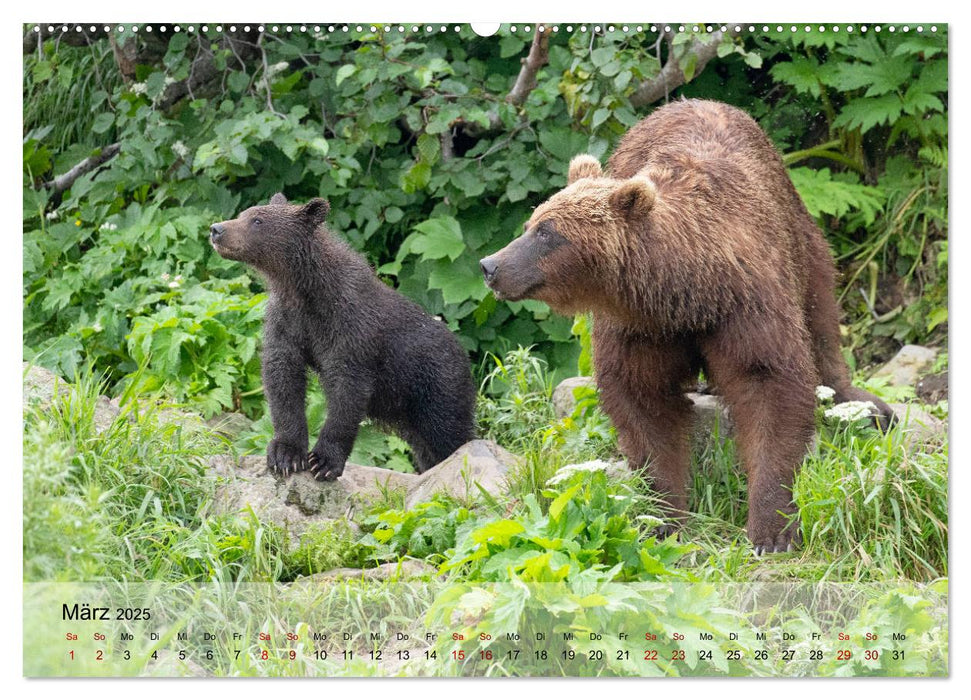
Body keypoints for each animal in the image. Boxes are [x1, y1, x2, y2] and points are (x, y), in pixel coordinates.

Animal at [211, 194, 476, 478]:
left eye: (257, 220)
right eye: (243, 213)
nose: (217, 229)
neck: (305, 290)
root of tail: (464, 354)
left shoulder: (350, 328)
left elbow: (346, 390)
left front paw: (324, 461)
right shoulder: (286, 321)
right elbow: (282, 377)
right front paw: (286, 454)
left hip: (436, 387)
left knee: (449, 434)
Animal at [478, 98, 896, 552]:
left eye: (547, 232)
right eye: (530, 224)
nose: (490, 265)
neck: (685, 292)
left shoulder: (745, 306)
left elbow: (770, 385)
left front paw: (772, 528)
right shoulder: (638, 328)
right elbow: (643, 404)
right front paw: (662, 517)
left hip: (798, 233)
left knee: (820, 308)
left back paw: (863, 403)